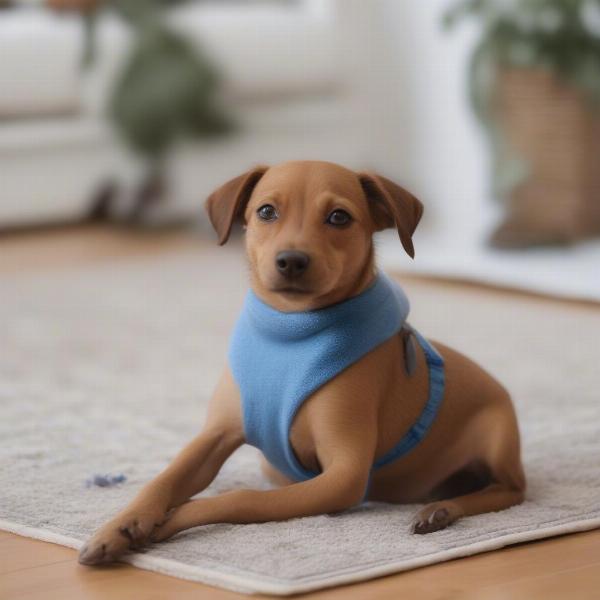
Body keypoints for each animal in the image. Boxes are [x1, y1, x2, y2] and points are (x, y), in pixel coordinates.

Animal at [79, 158, 524, 564]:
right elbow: (161, 481)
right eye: (266, 211)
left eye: (339, 217)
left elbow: (239, 499)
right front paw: (121, 525)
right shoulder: (215, 435)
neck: (291, 336)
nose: (292, 260)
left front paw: (166, 522)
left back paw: (441, 511)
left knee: (510, 491)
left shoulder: (343, 474)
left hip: (498, 435)